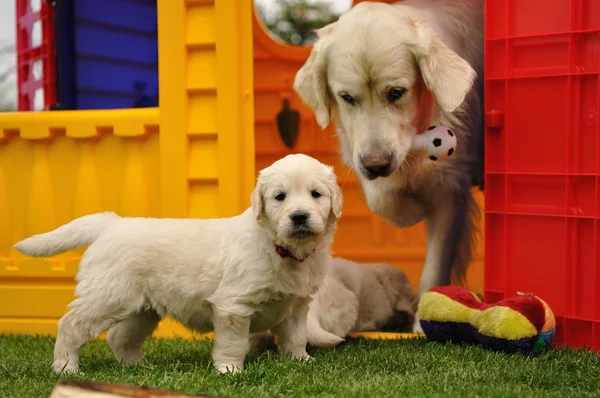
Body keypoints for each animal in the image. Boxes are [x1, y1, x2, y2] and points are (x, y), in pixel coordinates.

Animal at [12, 152, 342, 374]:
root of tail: (111, 223)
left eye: (316, 194)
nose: (299, 216)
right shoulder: (233, 306)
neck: (280, 248)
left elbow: (296, 336)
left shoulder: (296, 305)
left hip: (141, 309)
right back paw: (66, 368)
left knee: (120, 337)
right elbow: (233, 343)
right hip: (107, 295)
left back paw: (140, 367)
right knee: (71, 325)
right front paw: (230, 370)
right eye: (279, 197)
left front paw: (301, 361)